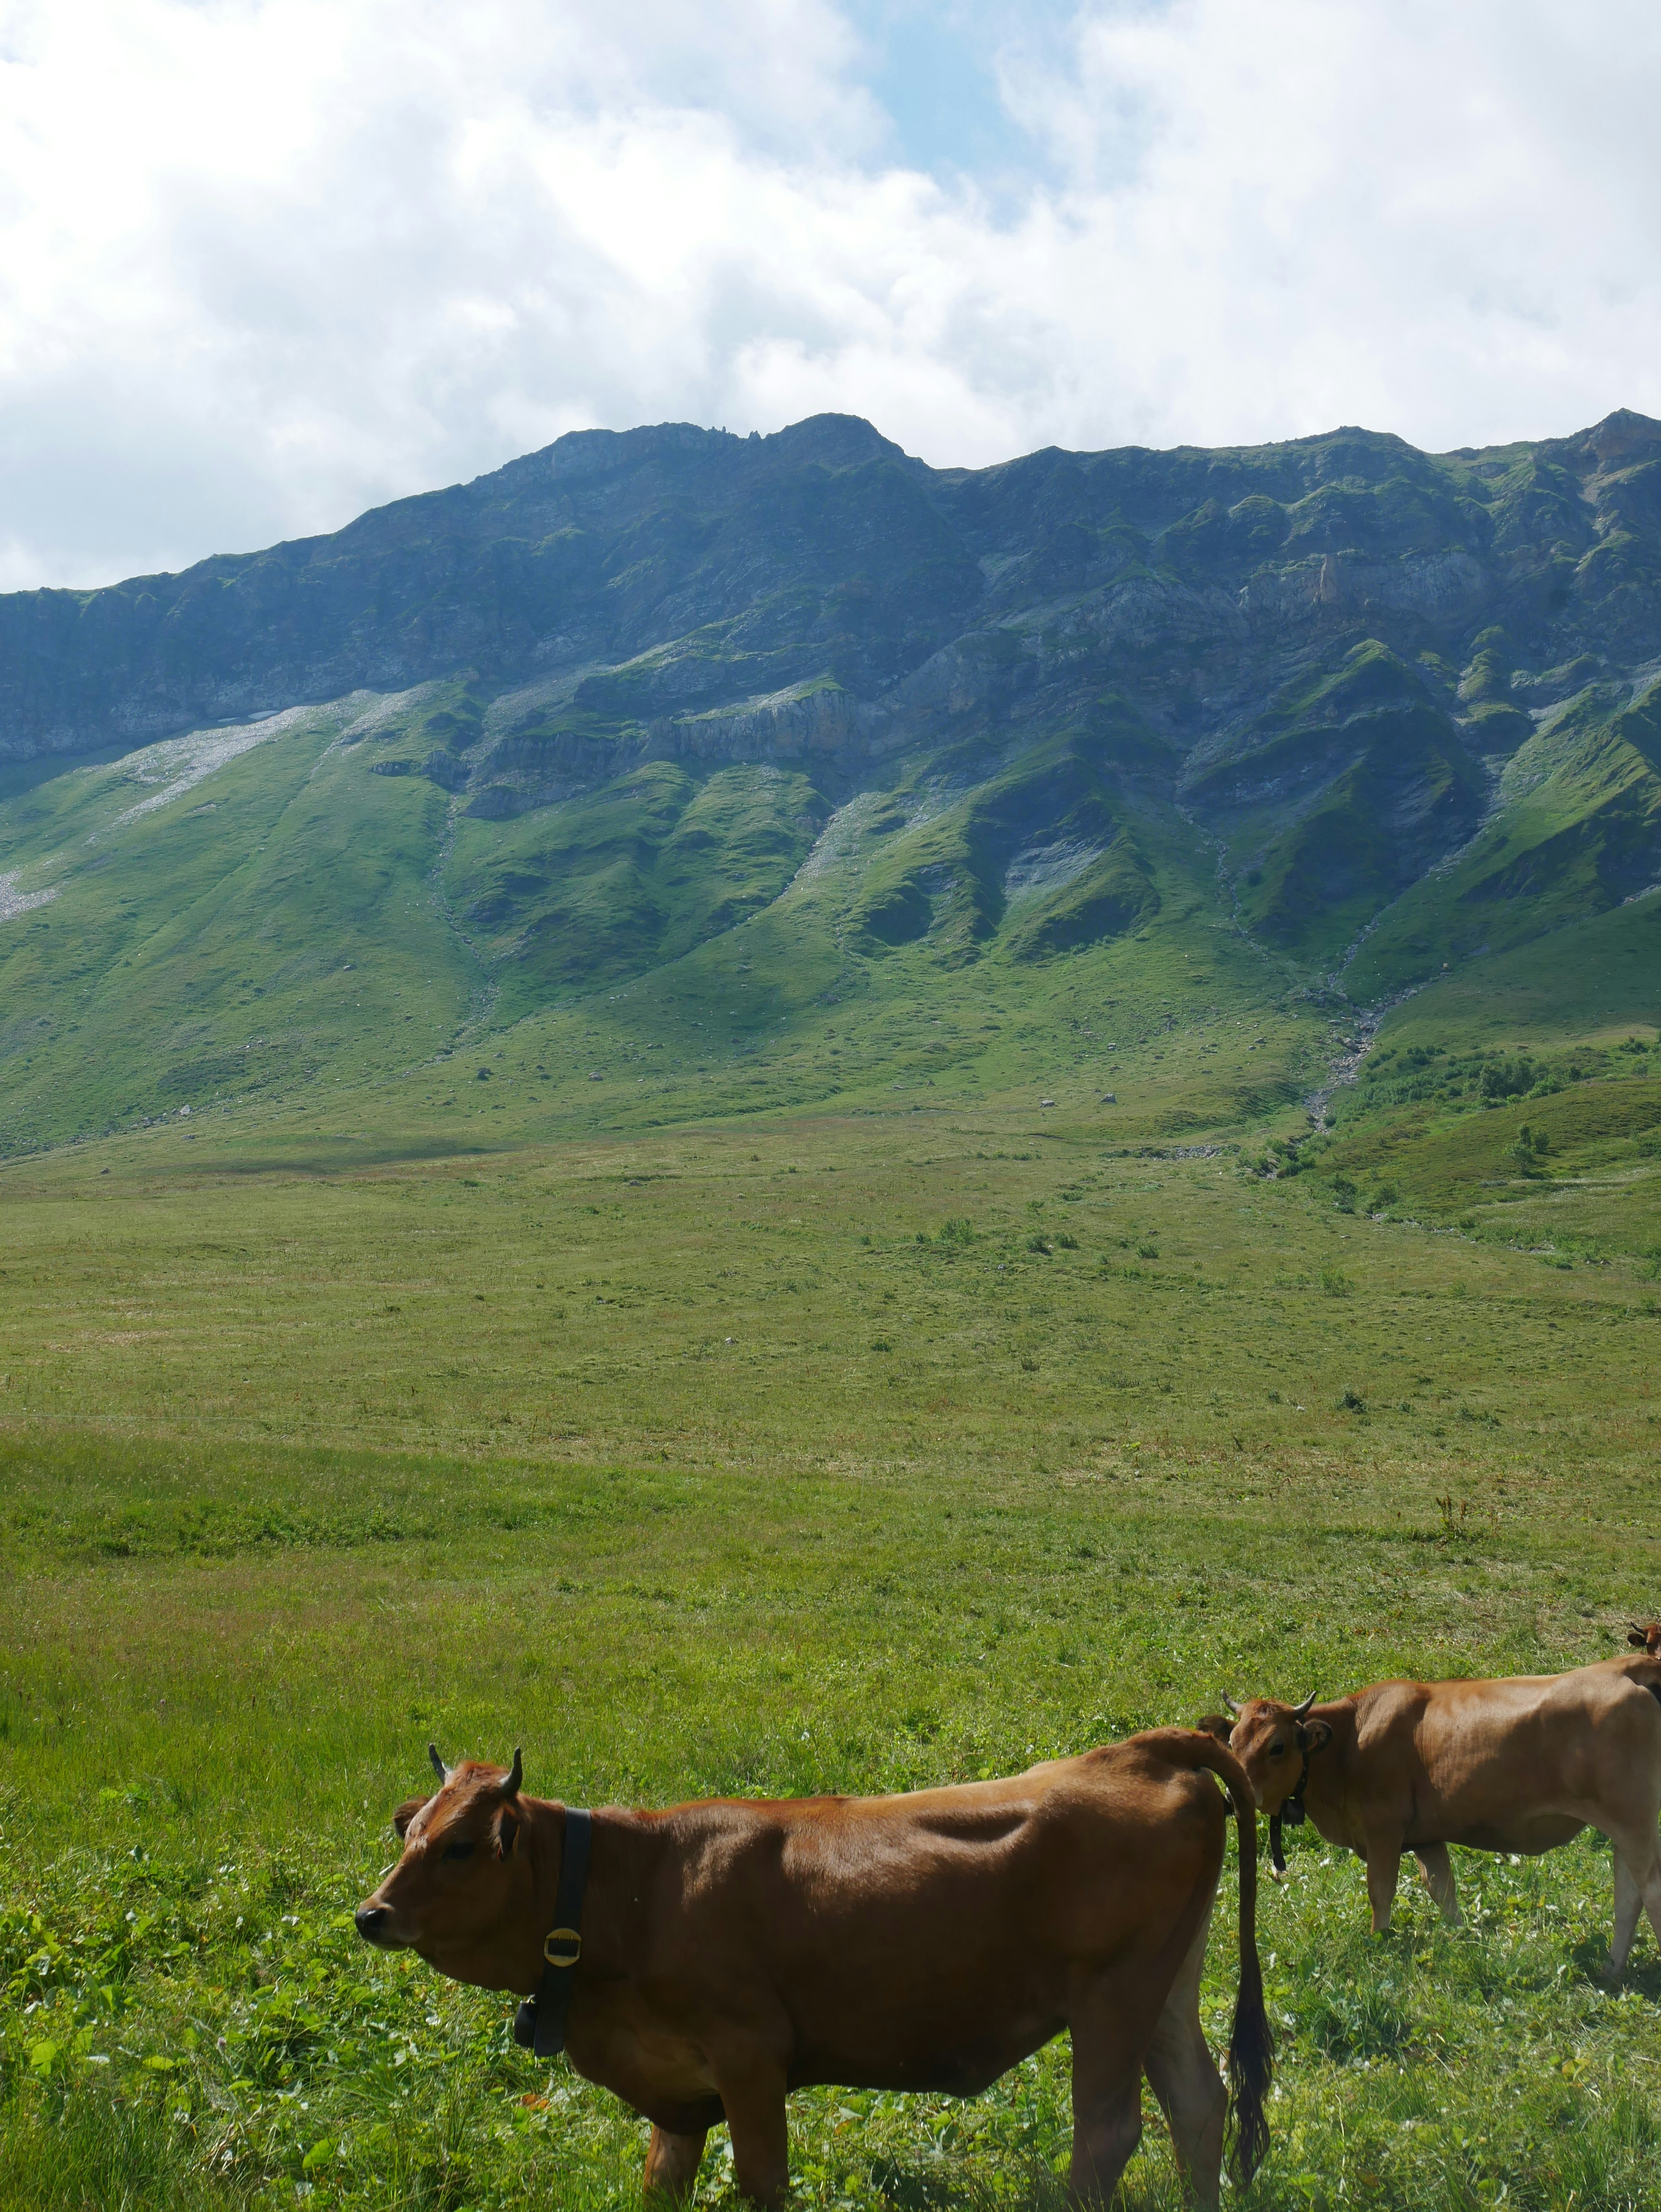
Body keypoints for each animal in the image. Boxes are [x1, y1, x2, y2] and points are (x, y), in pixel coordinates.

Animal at [356, 1729, 1272, 2207]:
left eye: (460, 1846)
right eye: (410, 1833)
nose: (372, 1915)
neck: (637, 1886)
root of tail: (1141, 1749)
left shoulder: (750, 2057)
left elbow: (762, 2180)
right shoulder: (675, 2082)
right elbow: (662, 2180)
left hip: (1111, 1994)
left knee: (1108, 2135)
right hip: (1163, 1986)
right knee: (1199, 2107)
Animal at [1203, 1649, 1661, 1979]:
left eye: (1277, 1747)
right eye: (1232, 1742)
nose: (1235, 1795)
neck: (1351, 1740)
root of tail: (1626, 1668)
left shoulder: (1384, 1830)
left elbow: (1381, 1890)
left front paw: (1379, 1942)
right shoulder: (1426, 1837)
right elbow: (1444, 1890)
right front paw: (1461, 1941)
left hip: (1634, 1822)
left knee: (1649, 1891)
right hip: (1623, 1828)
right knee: (1627, 1897)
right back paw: (1612, 1970)